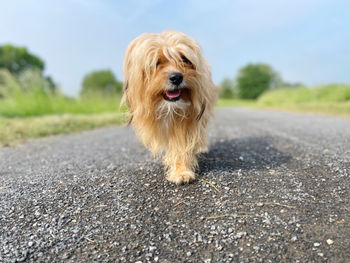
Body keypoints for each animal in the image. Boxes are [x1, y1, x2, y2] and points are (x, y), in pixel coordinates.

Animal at [121, 29, 217, 185]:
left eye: (184, 59)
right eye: (156, 62)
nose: (176, 77)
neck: (169, 109)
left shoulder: (186, 119)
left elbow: (181, 146)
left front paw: (181, 171)